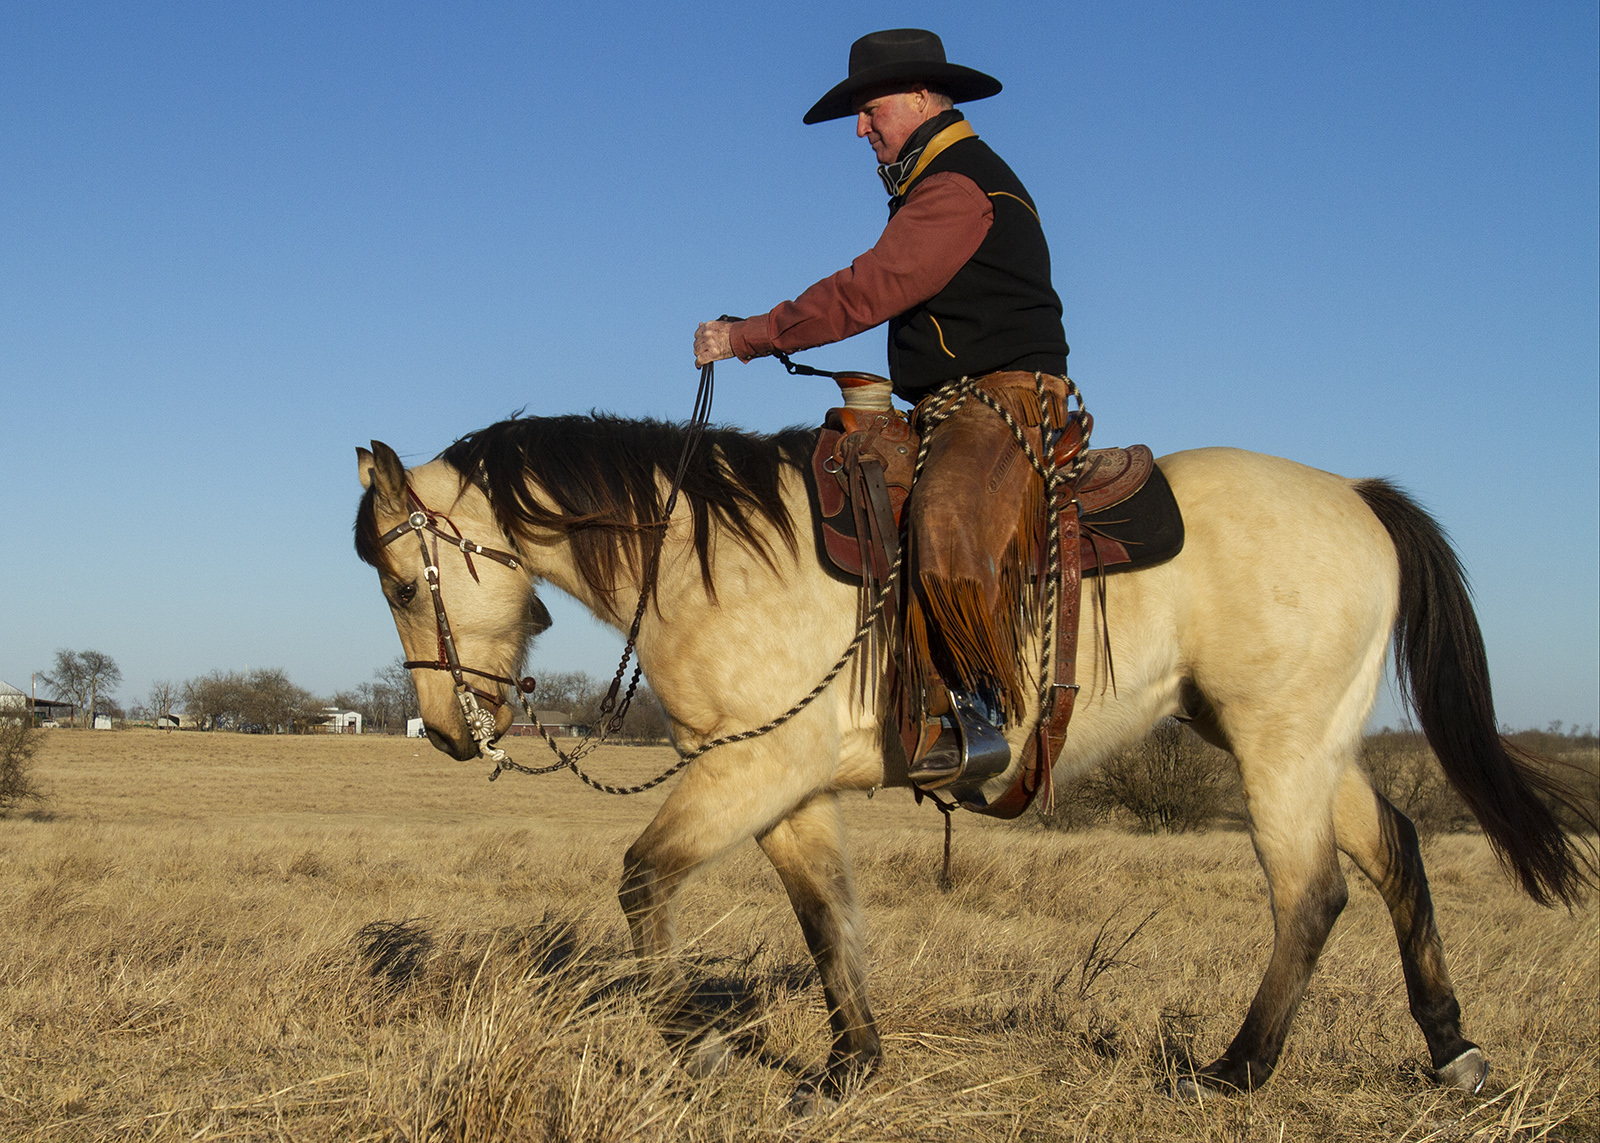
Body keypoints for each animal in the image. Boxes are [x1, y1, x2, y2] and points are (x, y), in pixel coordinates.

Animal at [353, 411, 1591, 1103]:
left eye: (406, 582)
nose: (452, 731)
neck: (717, 557)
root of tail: (1357, 498)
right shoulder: (783, 789)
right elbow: (826, 919)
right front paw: (849, 1068)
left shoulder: (748, 775)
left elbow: (643, 881)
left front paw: (693, 1050)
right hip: (1305, 742)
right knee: (1394, 853)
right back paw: (1451, 1050)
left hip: (1276, 747)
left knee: (1311, 894)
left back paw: (1233, 1071)